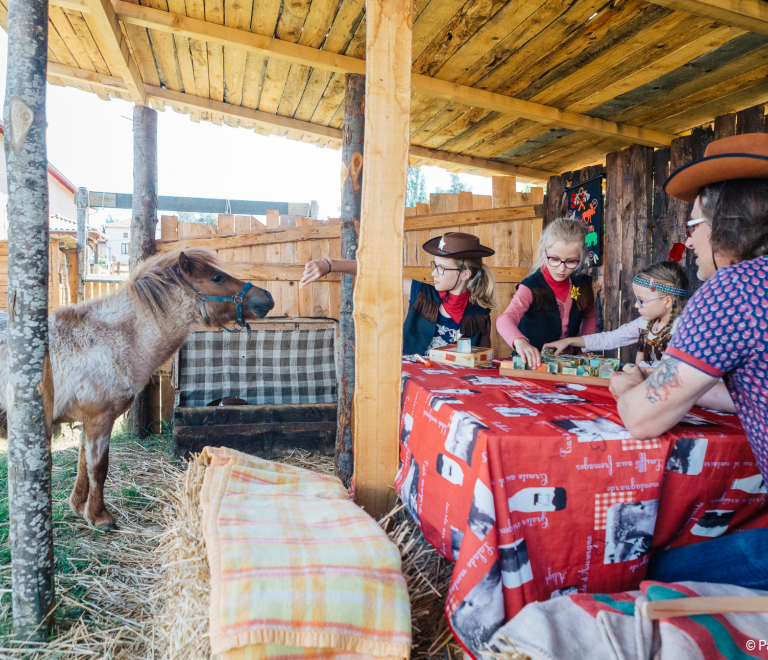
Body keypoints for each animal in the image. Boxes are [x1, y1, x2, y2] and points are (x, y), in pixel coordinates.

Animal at [0, 249, 274, 532]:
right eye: (216, 278)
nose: (267, 297)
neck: (106, 341)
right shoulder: (100, 419)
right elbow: (98, 467)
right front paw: (100, 517)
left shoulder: (87, 421)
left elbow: (83, 464)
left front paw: (79, 507)